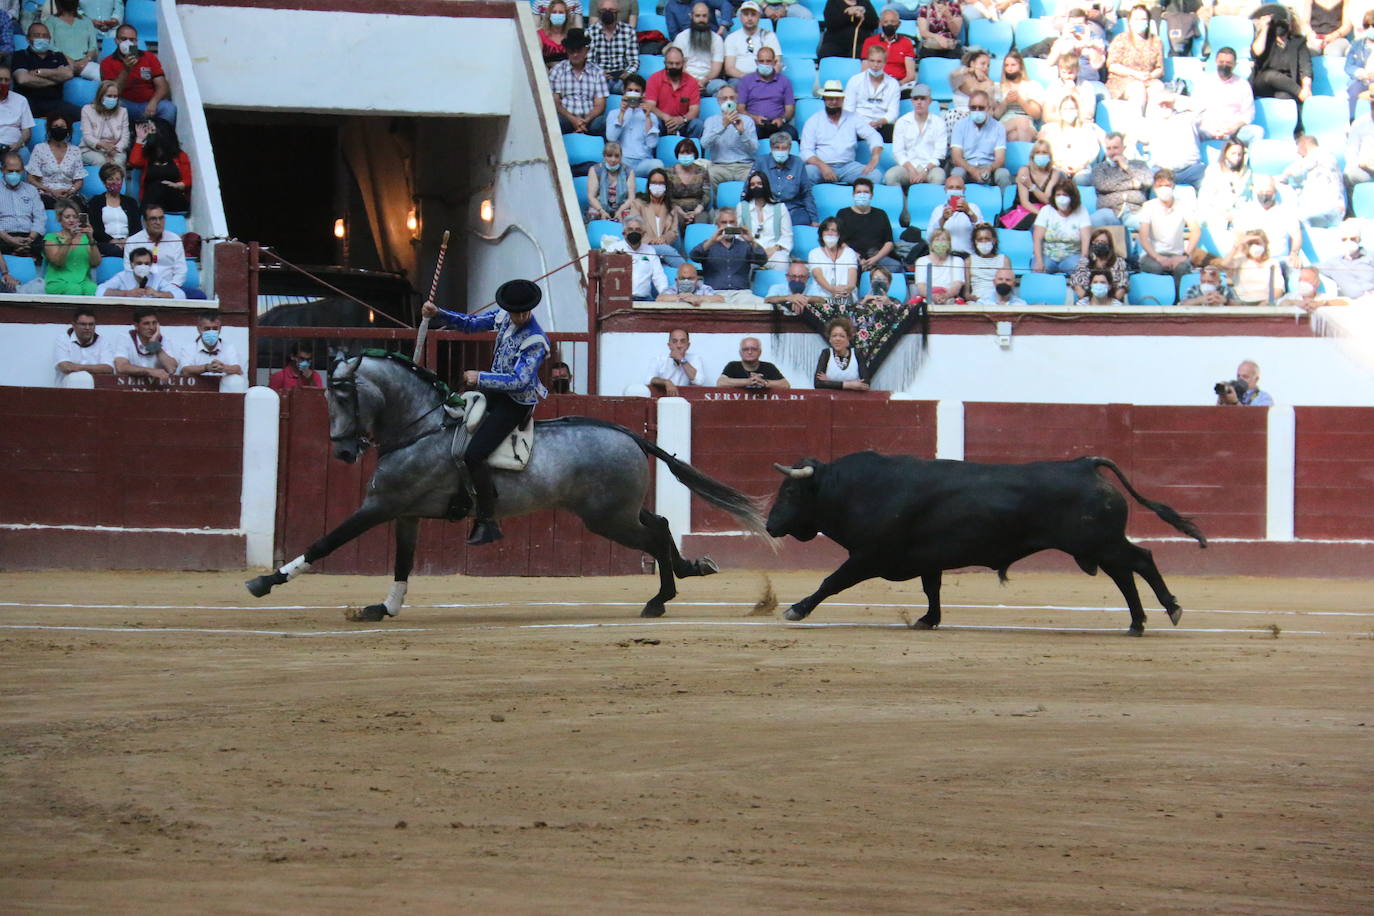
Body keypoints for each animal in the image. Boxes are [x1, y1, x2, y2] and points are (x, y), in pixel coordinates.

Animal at [247, 354, 763, 620]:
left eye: (343, 394)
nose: (342, 452)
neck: (421, 427)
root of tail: (631, 433)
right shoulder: (405, 513)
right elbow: (403, 561)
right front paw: (386, 607)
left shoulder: (380, 505)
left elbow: (326, 541)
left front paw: (265, 581)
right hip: (617, 511)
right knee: (661, 523)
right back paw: (688, 572)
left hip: (607, 518)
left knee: (653, 534)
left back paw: (659, 600)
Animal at [769, 453, 1209, 637]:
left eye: (790, 491)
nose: (771, 526)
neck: (854, 489)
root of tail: (1084, 464)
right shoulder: (927, 559)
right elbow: (932, 589)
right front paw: (929, 620)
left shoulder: (867, 556)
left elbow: (831, 581)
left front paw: (796, 609)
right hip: (1099, 545)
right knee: (1125, 574)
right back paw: (1137, 623)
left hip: (1101, 542)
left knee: (1141, 560)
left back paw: (1169, 609)